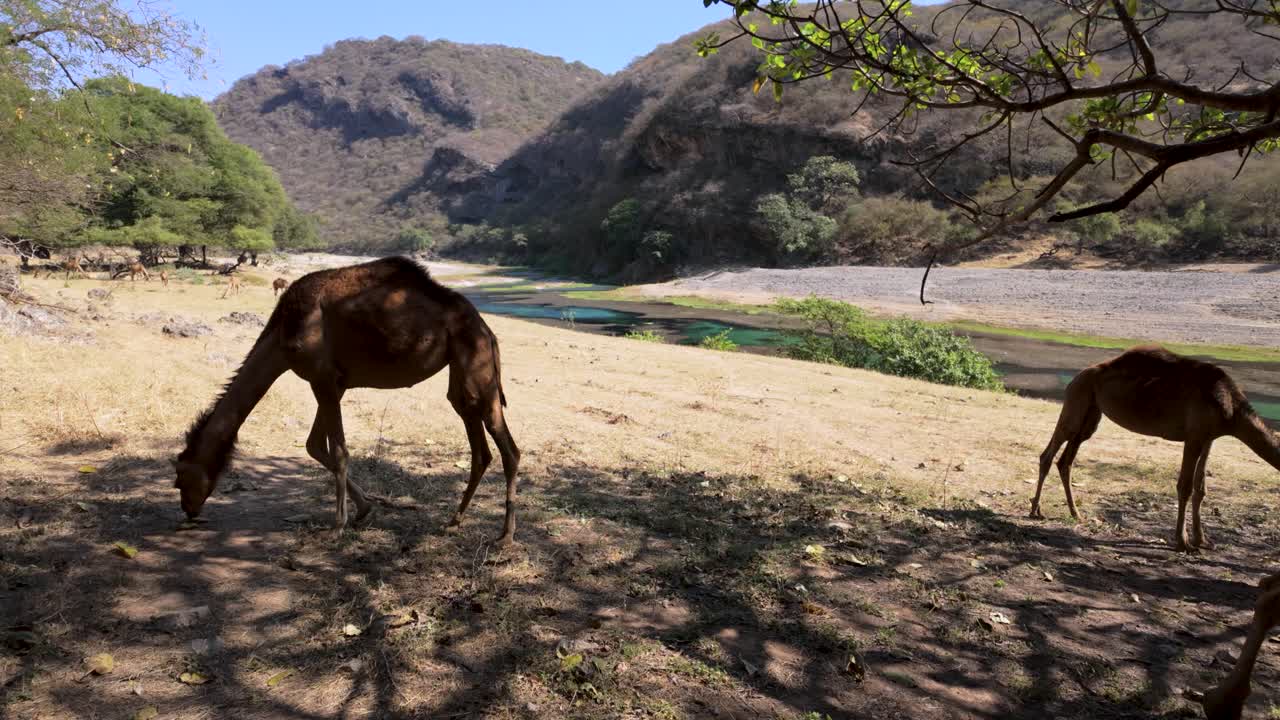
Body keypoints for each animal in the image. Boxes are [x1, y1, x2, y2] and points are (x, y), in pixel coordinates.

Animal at [172, 256, 521, 544]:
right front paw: (365, 509)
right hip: (461, 377)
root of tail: (487, 329)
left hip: (477, 365)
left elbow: (338, 451)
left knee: (509, 450)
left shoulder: (323, 379)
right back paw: (454, 521)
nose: (188, 511)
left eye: (179, 477)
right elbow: (315, 445)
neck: (283, 333)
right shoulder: (332, 383)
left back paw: (505, 535)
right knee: (480, 448)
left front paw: (338, 525)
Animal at [1032, 346, 1280, 552]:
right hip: (1076, 403)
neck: (1232, 411)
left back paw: (1076, 513)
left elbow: (1200, 488)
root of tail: (1077, 377)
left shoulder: (1209, 438)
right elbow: (1185, 487)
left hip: (1091, 416)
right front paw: (1183, 542)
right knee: (1048, 454)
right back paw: (1035, 510)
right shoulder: (1194, 437)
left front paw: (1203, 540)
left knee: (1066, 461)